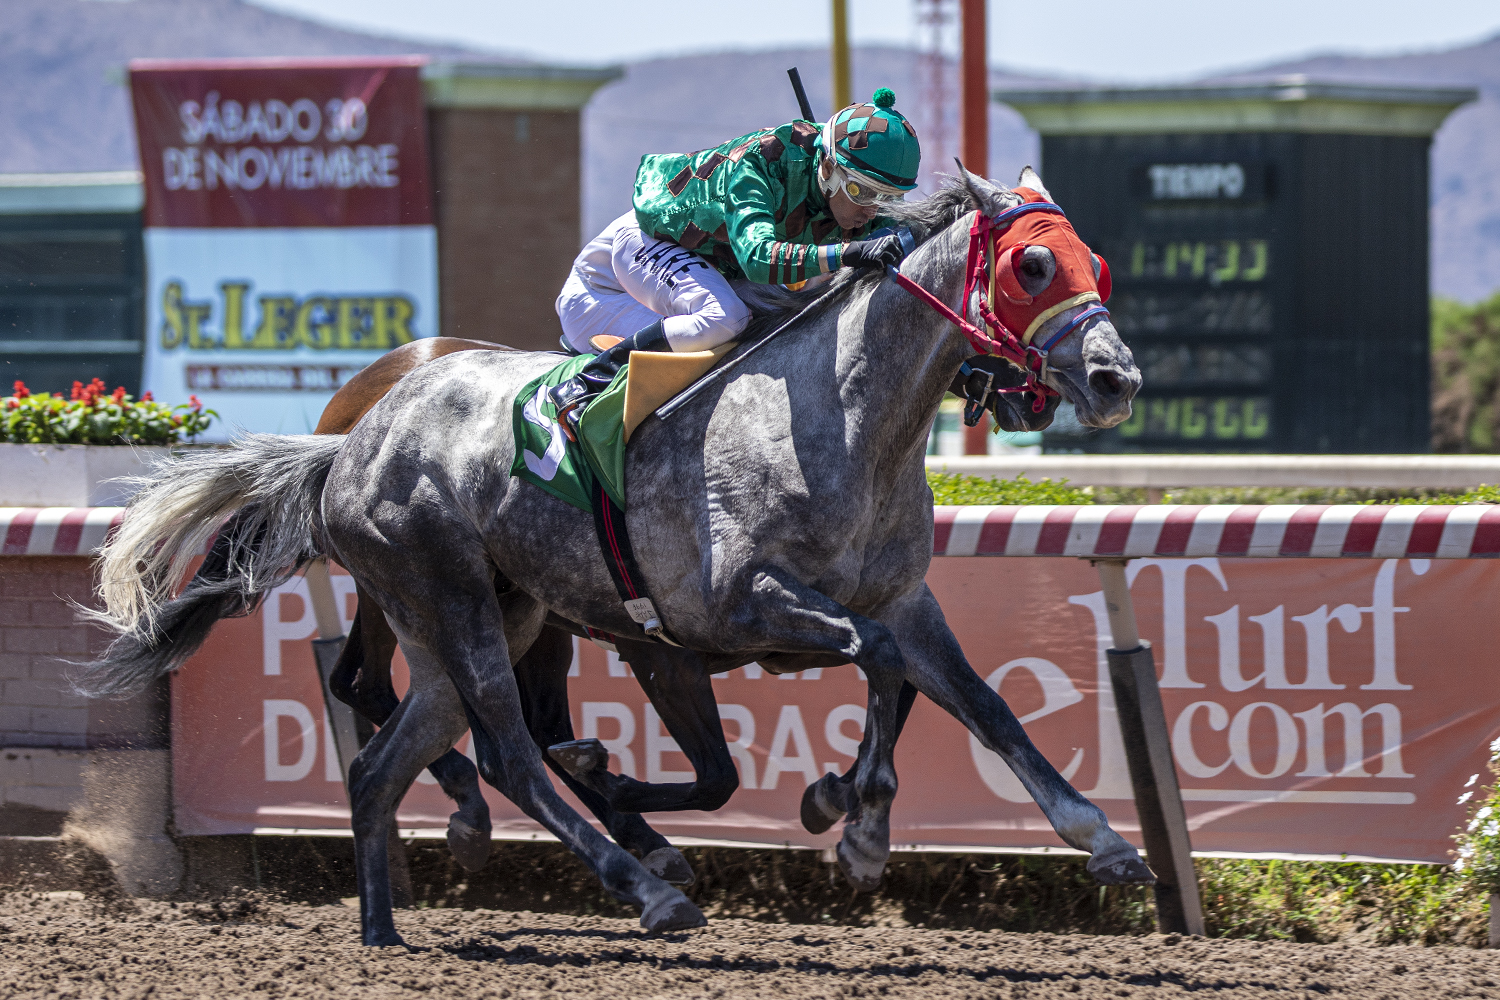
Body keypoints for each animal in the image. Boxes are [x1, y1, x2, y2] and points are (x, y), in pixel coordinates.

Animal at [77, 169, 1148, 945]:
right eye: (1033, 267)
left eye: (1096, 261)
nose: (1114, 379)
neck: (840, 421)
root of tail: (350, 442)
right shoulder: (733, 604)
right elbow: (873, 670)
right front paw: (859, 826)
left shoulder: (900, 599)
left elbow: (982, 703)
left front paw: (1101, 841)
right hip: (453, 596)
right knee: (506, 750)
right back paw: (649, 888)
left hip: (478, 617)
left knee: (385, 762)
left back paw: (385, 928)